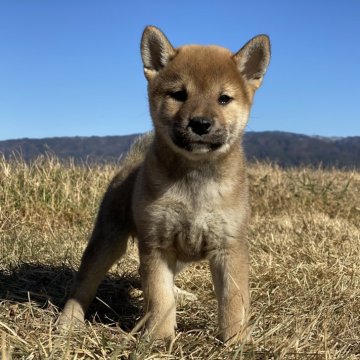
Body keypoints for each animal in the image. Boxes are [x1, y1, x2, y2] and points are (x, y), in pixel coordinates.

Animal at [58, 26, 270, 344]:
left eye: (224, 99)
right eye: (179, 95)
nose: (201, 123)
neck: (194, 182)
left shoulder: (228, 247)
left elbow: (233, 300)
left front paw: (235, 341)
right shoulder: (156, 245)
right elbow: (159, 296)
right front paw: (159, 337)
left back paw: (181, 295)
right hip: (108, 242)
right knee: (83, 285)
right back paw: (68, 321)